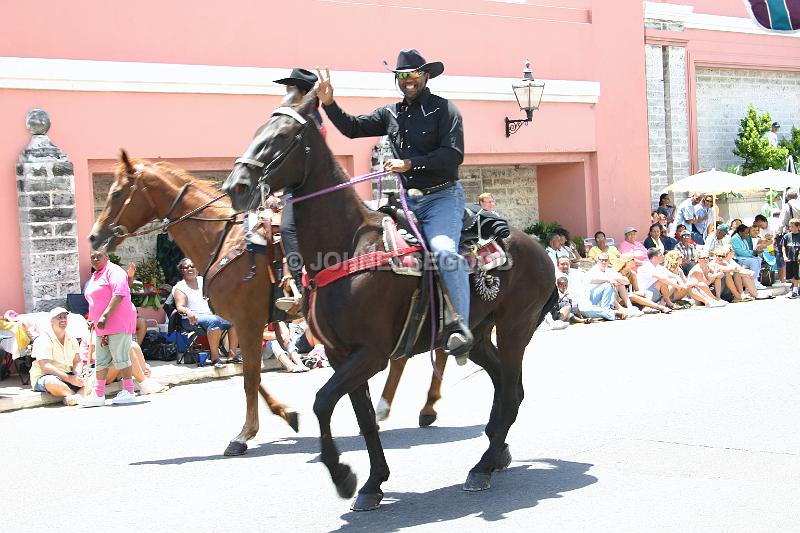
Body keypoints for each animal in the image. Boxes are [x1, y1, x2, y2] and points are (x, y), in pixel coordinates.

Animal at [87, 153, 298, 454]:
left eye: (116, 193)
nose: (94, 236)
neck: (222, 239)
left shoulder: (249, 322)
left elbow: (249, 378)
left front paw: (243, 434)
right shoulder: (245, 324)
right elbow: (251, 375)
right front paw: (284, 413)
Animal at [220, 92, 556, 512]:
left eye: (283, 136)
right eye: (258, 130)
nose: (236, 187)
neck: (347, 245)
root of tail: (539, 249)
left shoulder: (372, 353)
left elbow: (322, 402)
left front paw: (343, 476)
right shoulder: (341, 355)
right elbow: (362, 417)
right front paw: (373, 483)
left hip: (515, 329)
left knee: (510, 392)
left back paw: (483, 467)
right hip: (479, 336)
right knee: (504, 388)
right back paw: (494, 455)